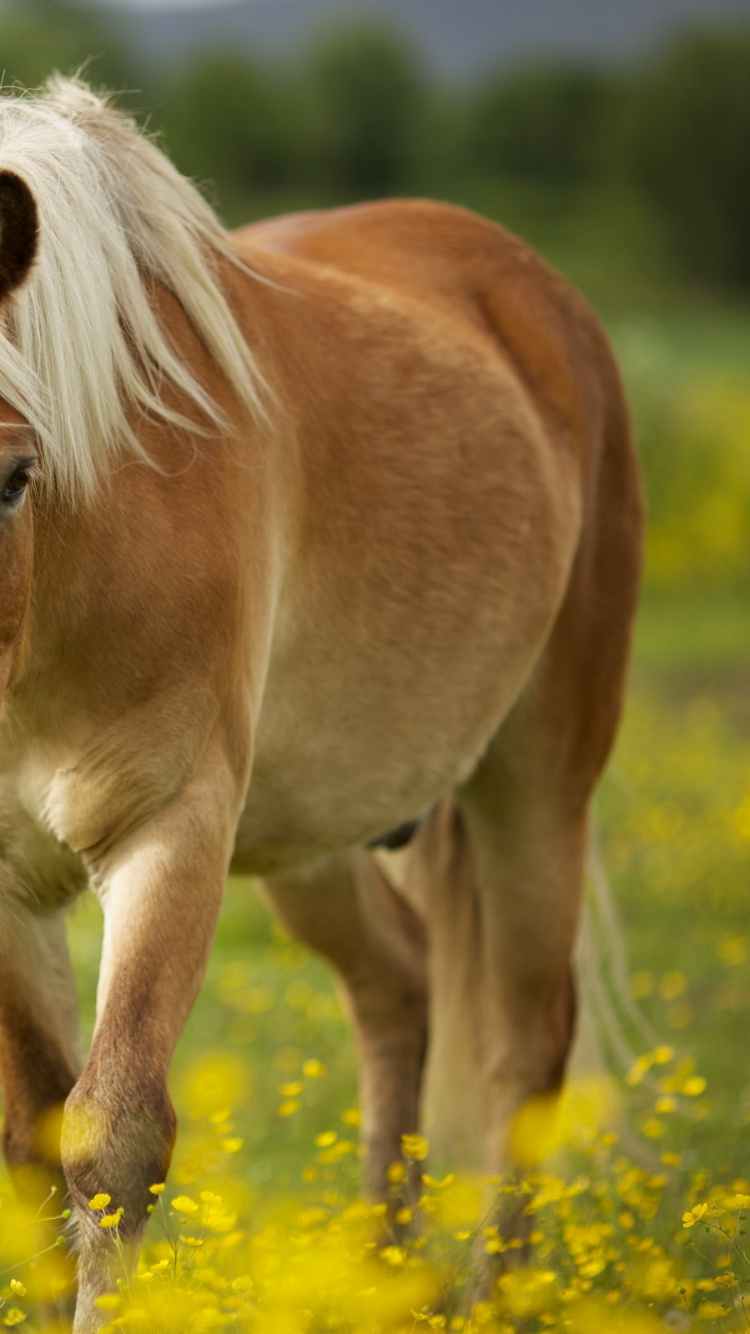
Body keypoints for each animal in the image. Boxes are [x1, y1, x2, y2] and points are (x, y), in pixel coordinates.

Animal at [0, 77, 642, 1331]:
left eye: (10, 473)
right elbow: (31, 1141)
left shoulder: (171, 831)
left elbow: (111, 1139)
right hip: (314, 833)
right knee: (399, 984)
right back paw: (384, 1277)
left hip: (538, 778)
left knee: (525, 1048)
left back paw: (492, 1296)